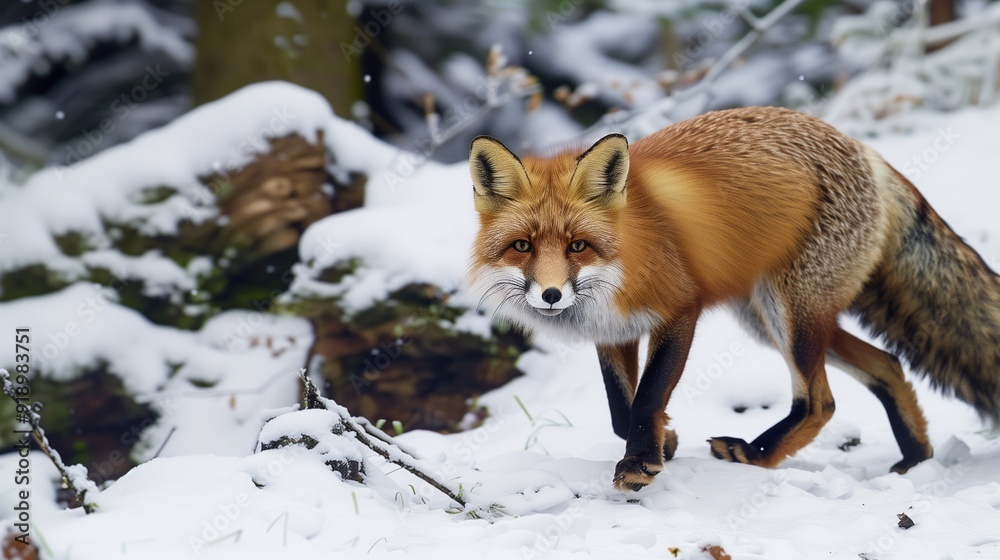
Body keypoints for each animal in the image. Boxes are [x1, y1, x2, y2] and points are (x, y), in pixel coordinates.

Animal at [466, 106, 1000, 492]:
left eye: (578, 246)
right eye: (522, 247)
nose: (552, 295)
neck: (627, 256)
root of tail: (865, 150)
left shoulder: (680, 311)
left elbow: (646, 399)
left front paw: (640, 463)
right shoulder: (613, 332)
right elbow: (622, 409)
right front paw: (665, 440)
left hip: (790, 315)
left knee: (820, 402)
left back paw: (757, 454)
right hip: (771, 318)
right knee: (887, 364)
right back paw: (916, 459)